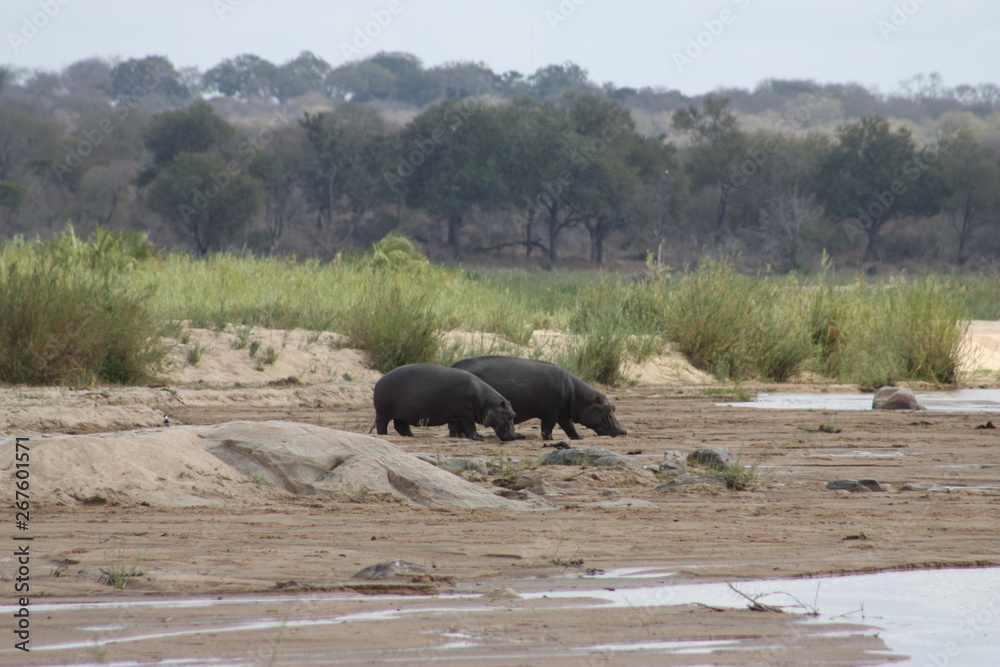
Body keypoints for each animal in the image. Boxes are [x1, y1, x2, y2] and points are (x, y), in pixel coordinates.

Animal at [373, 363, 517, 441]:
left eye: (514, 414)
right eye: (509, 415)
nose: (514, 436)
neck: (485, 402)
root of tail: (379, 380)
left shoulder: (456, 415)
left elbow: (455, 427)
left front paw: (455, 437)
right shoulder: (466, 414)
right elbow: (470, 426)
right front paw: (478, 437)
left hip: (402, 415)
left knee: (401, 426)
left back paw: (411, 436)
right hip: (383, 413)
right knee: (382, 425)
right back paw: (384, 435)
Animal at [450, 356, 626, 440]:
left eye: (614, 407)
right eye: (608, 408)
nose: (623, 431)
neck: (579, 397)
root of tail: (452, 366)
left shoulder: (563, 414)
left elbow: (570, 428)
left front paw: (580, 438)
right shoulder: (552, 413)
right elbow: (547, 428)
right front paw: (550, 440)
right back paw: (462, 436)